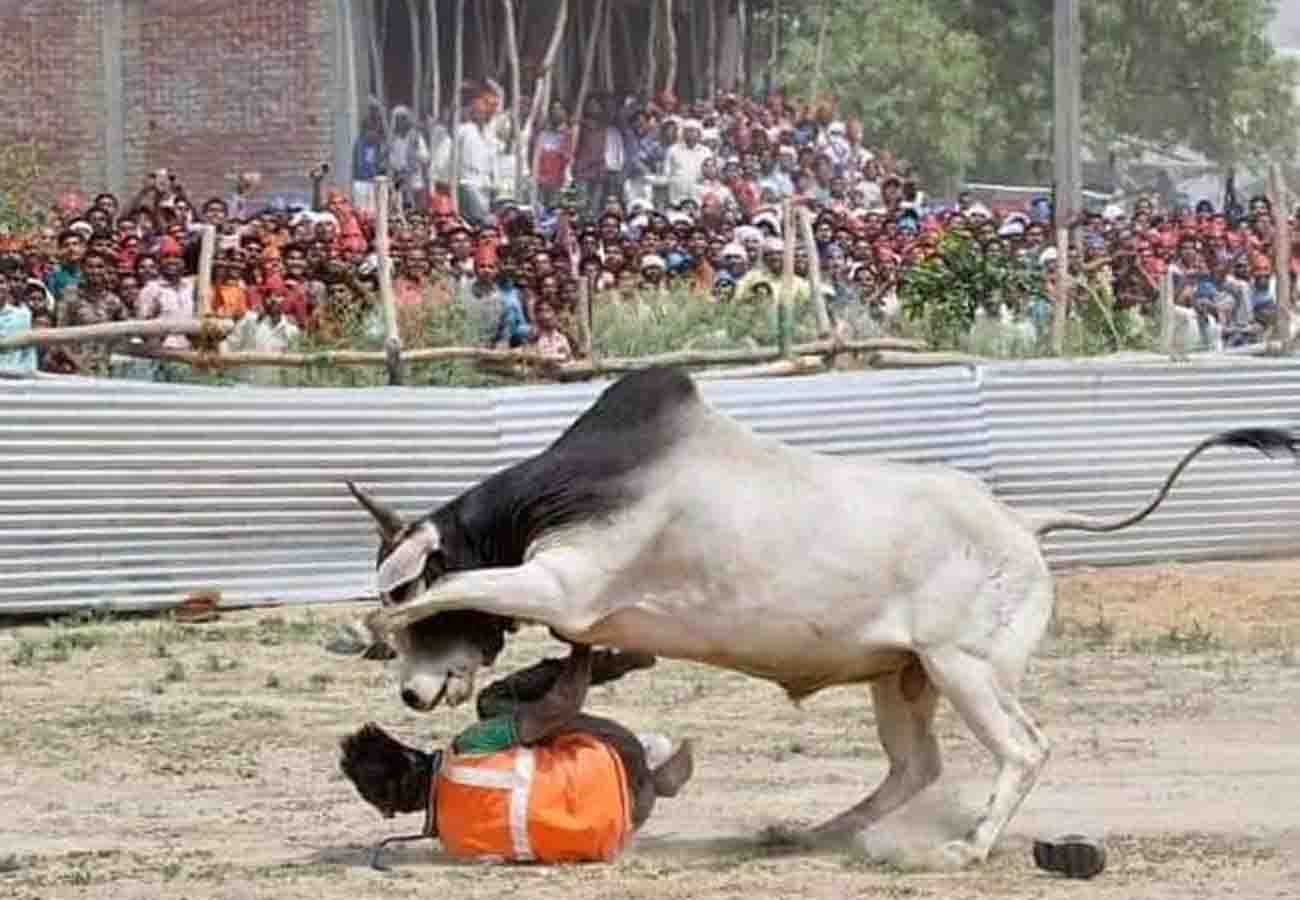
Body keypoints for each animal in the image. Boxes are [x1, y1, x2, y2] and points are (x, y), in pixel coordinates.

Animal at [338, 366, 1297, 868]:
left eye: (398, 593)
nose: (416, 698)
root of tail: (1024, 524)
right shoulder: (581, 613)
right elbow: (562, 668)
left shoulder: (564, 583)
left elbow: (463, 590)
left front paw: (365, 630)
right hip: (905, 678)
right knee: (915, 767)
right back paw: (816, 832)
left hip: (967, 669)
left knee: (1025, 748)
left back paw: (970, 846)